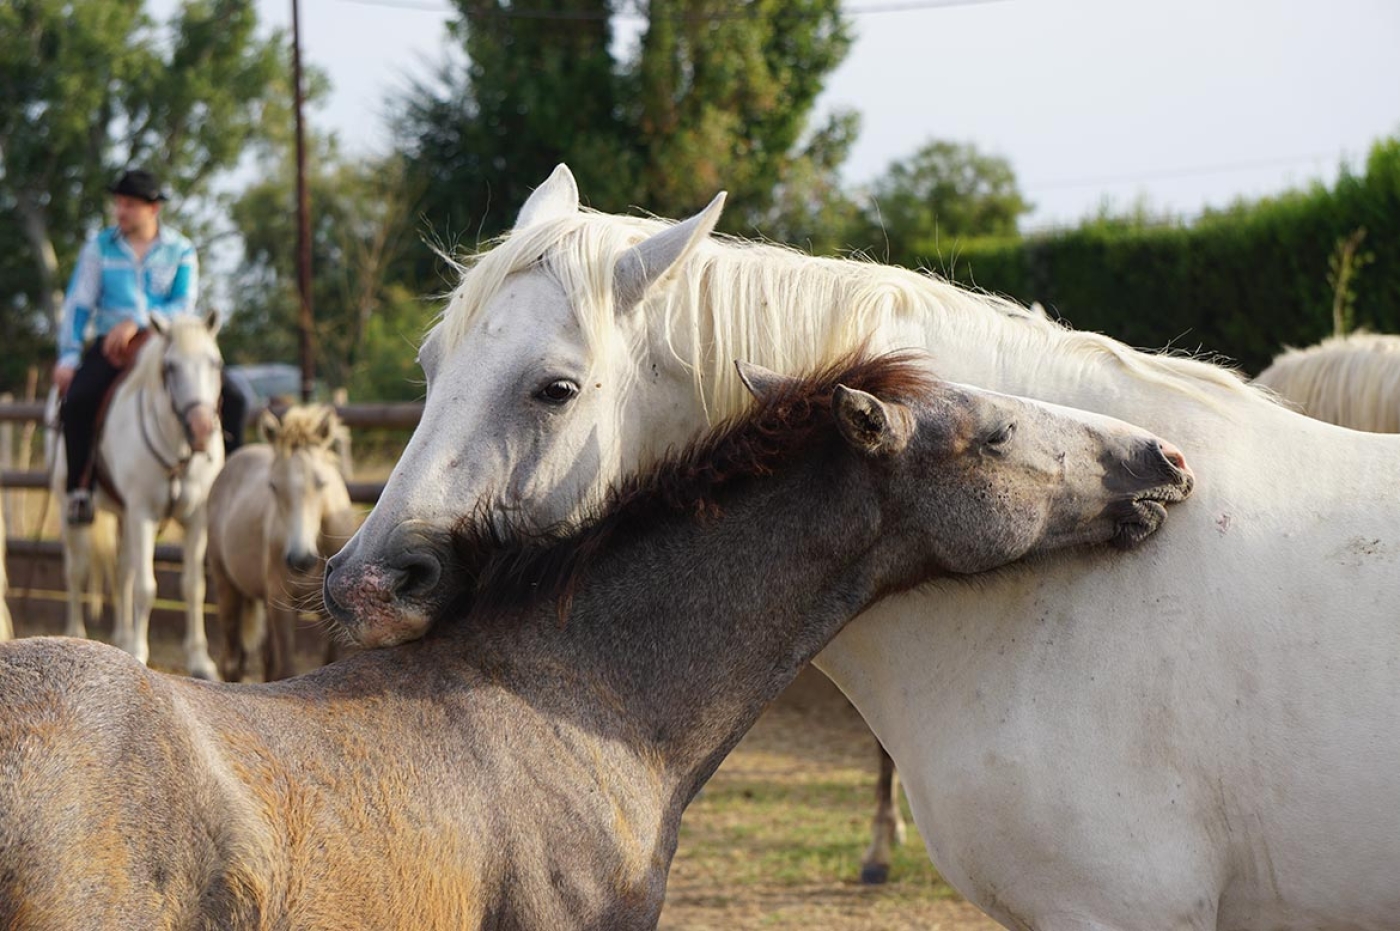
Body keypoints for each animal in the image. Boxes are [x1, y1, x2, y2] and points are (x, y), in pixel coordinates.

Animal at [54, 310, 224, 674]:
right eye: (170, 367)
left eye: (215, 363)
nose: (202, 429)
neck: (176, 448)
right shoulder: (143, 513)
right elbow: (147, 588)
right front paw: (139, 652)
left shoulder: (196, 518)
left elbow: (194, 587)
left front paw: (200, 659)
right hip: (69, 506)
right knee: (76, 570)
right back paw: (75, 633)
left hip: (123, 516)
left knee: (122, 572)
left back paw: (121, 637)